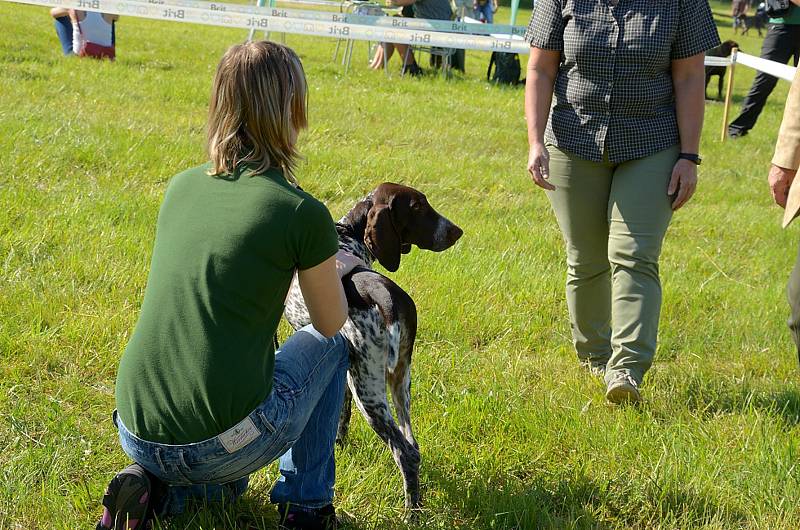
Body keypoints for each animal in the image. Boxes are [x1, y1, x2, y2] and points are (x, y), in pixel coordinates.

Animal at [286, 182, 462, 508]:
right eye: (417, 206)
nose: (456, 231)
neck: (347, 237)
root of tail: (390, 299)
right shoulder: (343, 367)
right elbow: (340, 416)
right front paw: (340, 446)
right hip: (398, 382)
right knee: (413, 445)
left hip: (368, 391)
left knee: (404, 451)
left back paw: (411, 512)